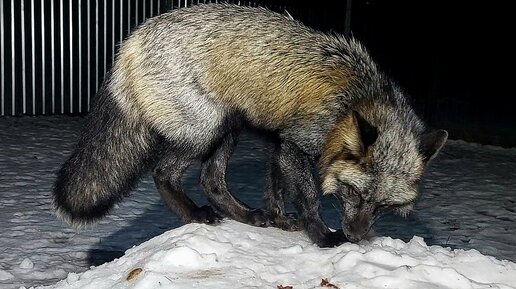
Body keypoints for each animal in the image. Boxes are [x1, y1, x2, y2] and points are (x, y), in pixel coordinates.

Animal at [53, 2, 448, 245]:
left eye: (383, 206)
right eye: (353, 193)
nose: (354, 236)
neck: (354, 101)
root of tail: (131, 40)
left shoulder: (280, 142)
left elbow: (276, 191)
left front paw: (281, 220)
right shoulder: (297, 145)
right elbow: (308, 197)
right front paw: (321, 236)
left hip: (229, 129)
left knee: (211, 181)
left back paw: (244, 216)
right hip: (206, 130)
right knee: (164, 173)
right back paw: (195, 215)